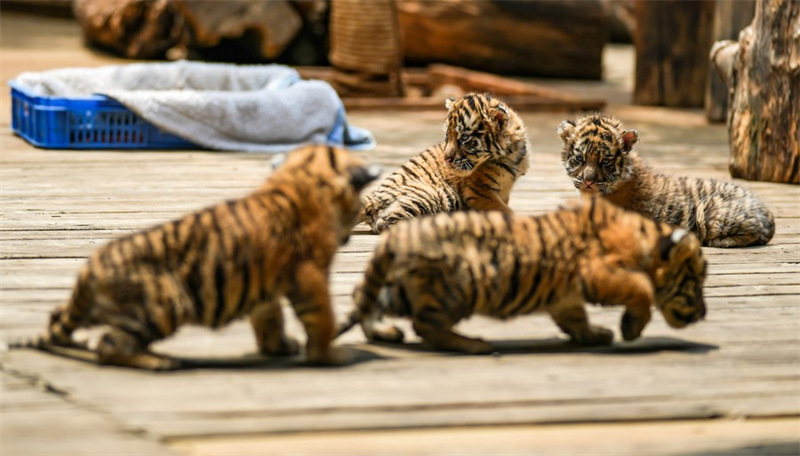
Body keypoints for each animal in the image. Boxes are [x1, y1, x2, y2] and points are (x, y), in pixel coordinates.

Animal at [18, 145, 381, 370]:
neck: (302, 177)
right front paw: (329, 355)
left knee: (60, 320)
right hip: (166, 303)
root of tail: (88, 272)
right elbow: (322, 317)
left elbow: (269, 317)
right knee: (108, 346)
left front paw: (278, 347)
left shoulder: (267, 281)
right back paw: (157, 361)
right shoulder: (310, 275)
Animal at [337, 196, 708, 354]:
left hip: (400, 288)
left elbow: (575, 317)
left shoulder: (567, 295)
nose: (704, 313)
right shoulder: (597, 271)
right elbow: (641, 288)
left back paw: (384, 332)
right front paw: (630, 329)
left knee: (364, 299)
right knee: (425, 325)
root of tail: (398, 238)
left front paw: (594, 335)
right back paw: (474, 345)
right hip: (458, 287)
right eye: (694, 281)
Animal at [361, 92, 529, 233]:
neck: (510, 155)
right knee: (385, 223)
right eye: (447, 136)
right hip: (430, 194)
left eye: (464, 138)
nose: (446, 159)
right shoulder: (479, 191)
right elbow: (504, 210)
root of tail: (375, 194)